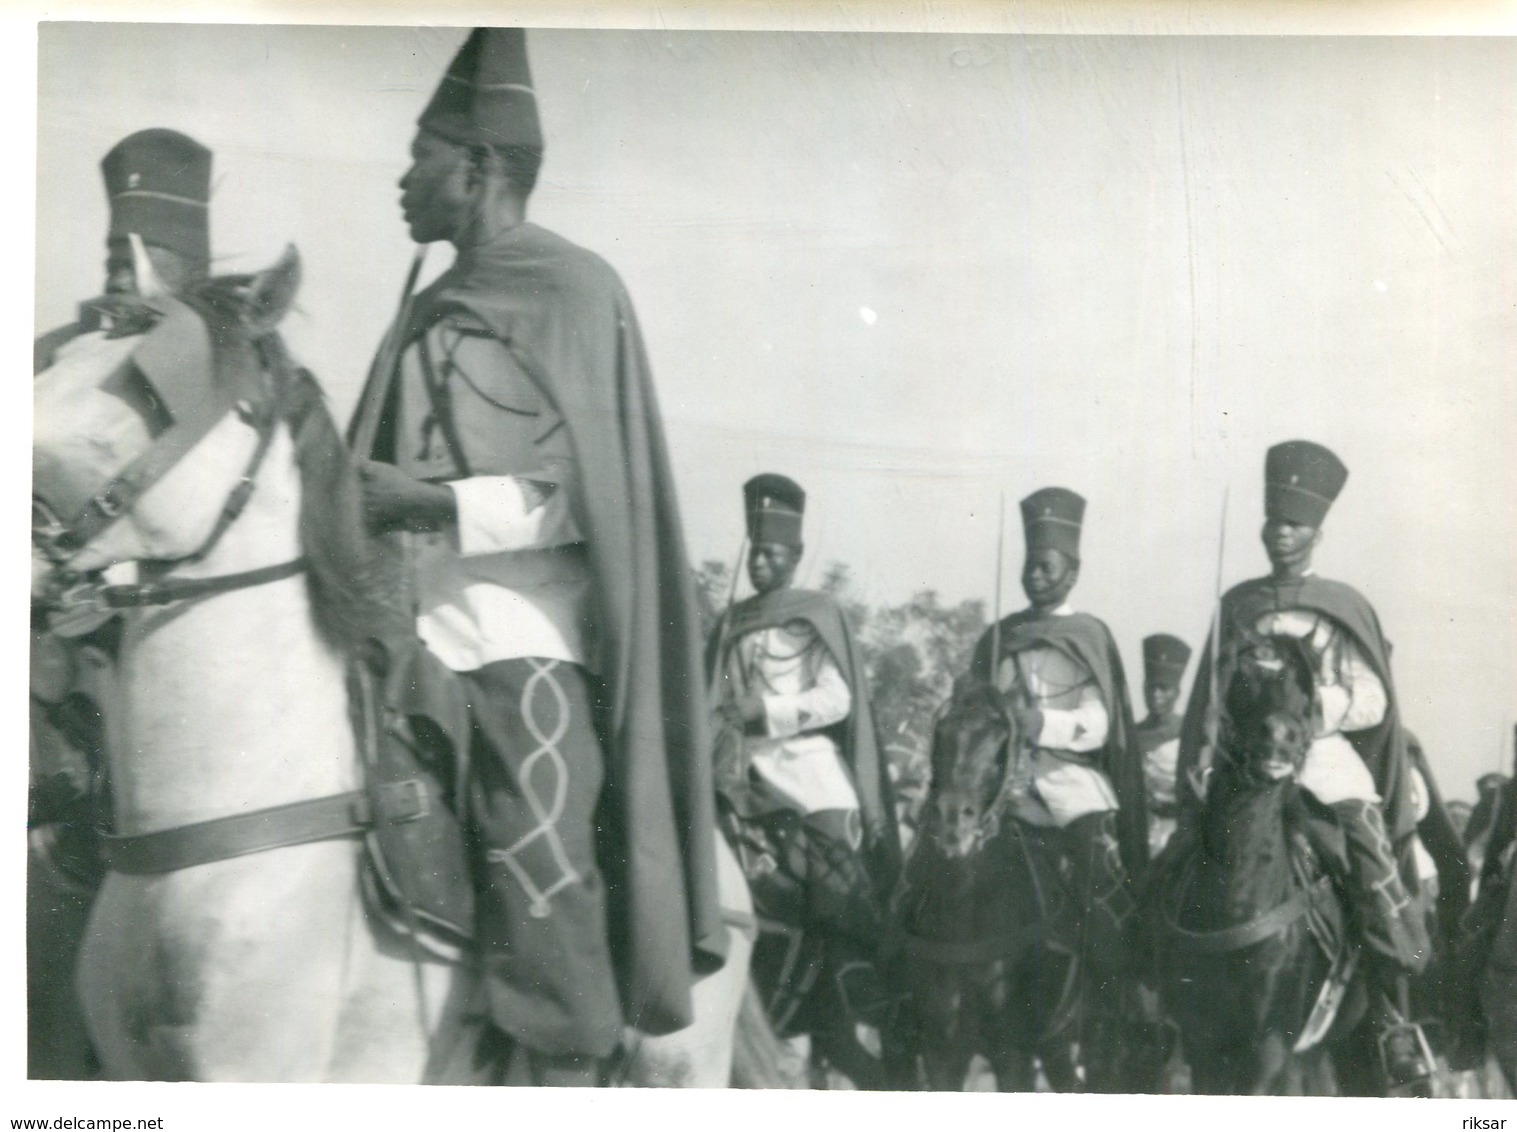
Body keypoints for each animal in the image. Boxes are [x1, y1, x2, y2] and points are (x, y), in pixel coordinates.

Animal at [1152, 631, 1359, 1086]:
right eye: (1242, 676)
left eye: (1307, 684)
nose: (1281, 736)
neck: (1238, 904)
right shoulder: (1203, 1041)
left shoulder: (1269, 1048)